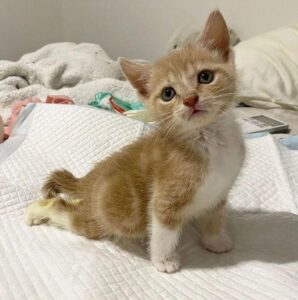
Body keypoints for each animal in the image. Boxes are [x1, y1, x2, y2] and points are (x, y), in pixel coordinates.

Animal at [25, 10, 244, 274]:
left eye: (205, 76)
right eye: (168, 93)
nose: (191, 99)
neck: (207, 139)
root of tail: (88, 180)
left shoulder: (219, 192)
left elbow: (214, 217)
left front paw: (215, 241)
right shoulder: (164, 199)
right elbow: (163, 232)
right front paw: (163, 260)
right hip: (114, 215)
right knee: (64, 209)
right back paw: (36, 212)